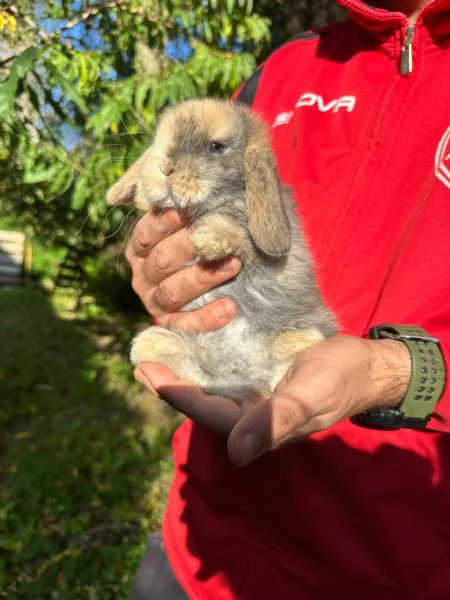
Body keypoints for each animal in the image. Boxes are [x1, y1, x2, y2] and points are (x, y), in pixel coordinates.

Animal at [107, 98, 336, 400]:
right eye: (160, 141)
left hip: (304, 338)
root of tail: (242, 379)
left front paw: (207, 241)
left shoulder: (249, 242)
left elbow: (236, 232)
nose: (165, 168)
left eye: (215, 146)